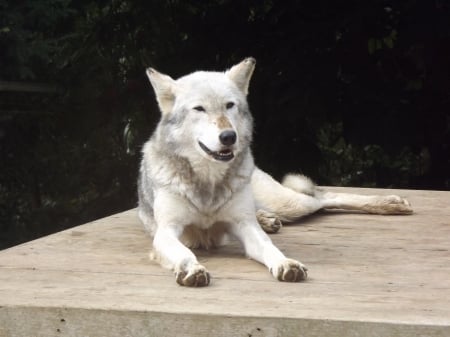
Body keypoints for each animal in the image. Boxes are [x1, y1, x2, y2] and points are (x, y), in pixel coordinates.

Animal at [136, 57, 412, 286]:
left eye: (229, 106)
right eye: (199, 109)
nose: (229, 137)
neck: (208, 182)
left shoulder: (245, 228)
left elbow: (270, 249)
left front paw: (286, 263)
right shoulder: (166, 232)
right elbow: (185, 253)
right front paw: (192, 270)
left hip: (291, 205)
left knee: (325, 197)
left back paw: (392, 203)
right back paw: (268, 220)